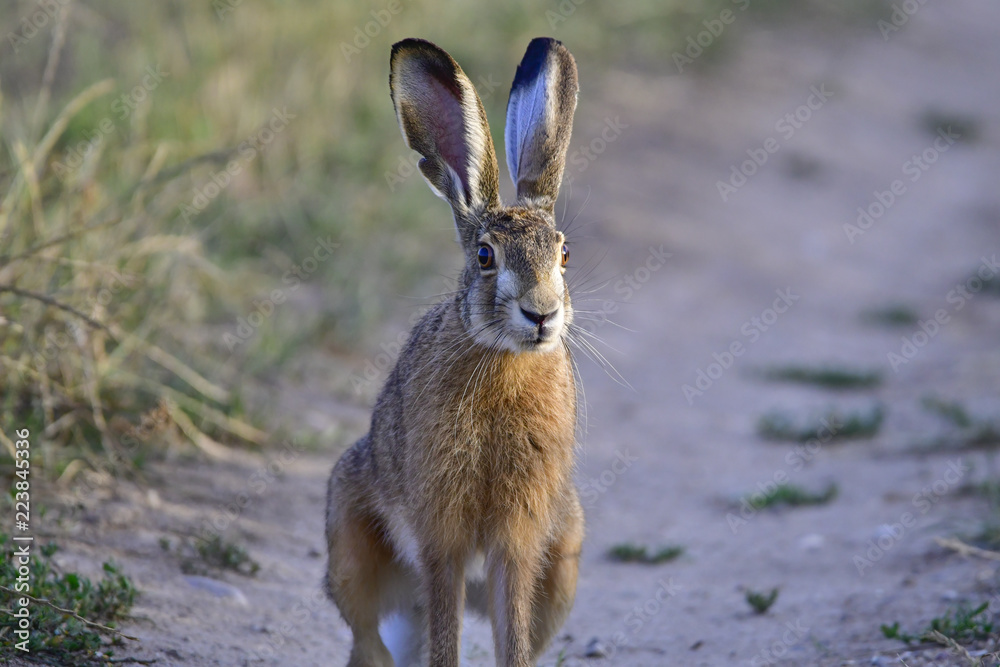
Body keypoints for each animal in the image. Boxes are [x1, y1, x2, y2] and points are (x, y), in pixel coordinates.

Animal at [326, 36, 582, 667]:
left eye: (564, 255)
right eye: (486, 256)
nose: (542, 314)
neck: (504, 363)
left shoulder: (520, 535)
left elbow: (512, 631)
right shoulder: (441, 530)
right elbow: (445, 624)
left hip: (565, 554)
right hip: (348, 537)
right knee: (368, 633)